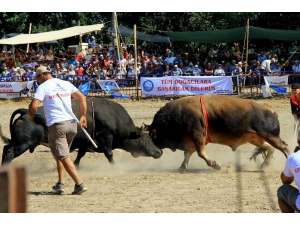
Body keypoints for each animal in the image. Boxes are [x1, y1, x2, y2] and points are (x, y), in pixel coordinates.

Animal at [1, 98, 163, 165]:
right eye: (147, 138)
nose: (159, 152)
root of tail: (25, 112)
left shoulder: (85, 142)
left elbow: (80, 155)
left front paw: (76, 165)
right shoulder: (105, 137)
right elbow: (109, 153)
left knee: (6, 148)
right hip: (23, 143)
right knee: (9, 151)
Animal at [143, 95, 290, 172]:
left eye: (154, 137)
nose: (156, 153)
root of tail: (268, 108)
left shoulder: (198, 136)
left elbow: (200, 153)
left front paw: (215, 164)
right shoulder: (191, 141)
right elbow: (187, 154)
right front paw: (182, 167)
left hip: (270, 136)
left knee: (283, 147)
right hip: (255, 138)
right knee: (270, 148)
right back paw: (264, 165)